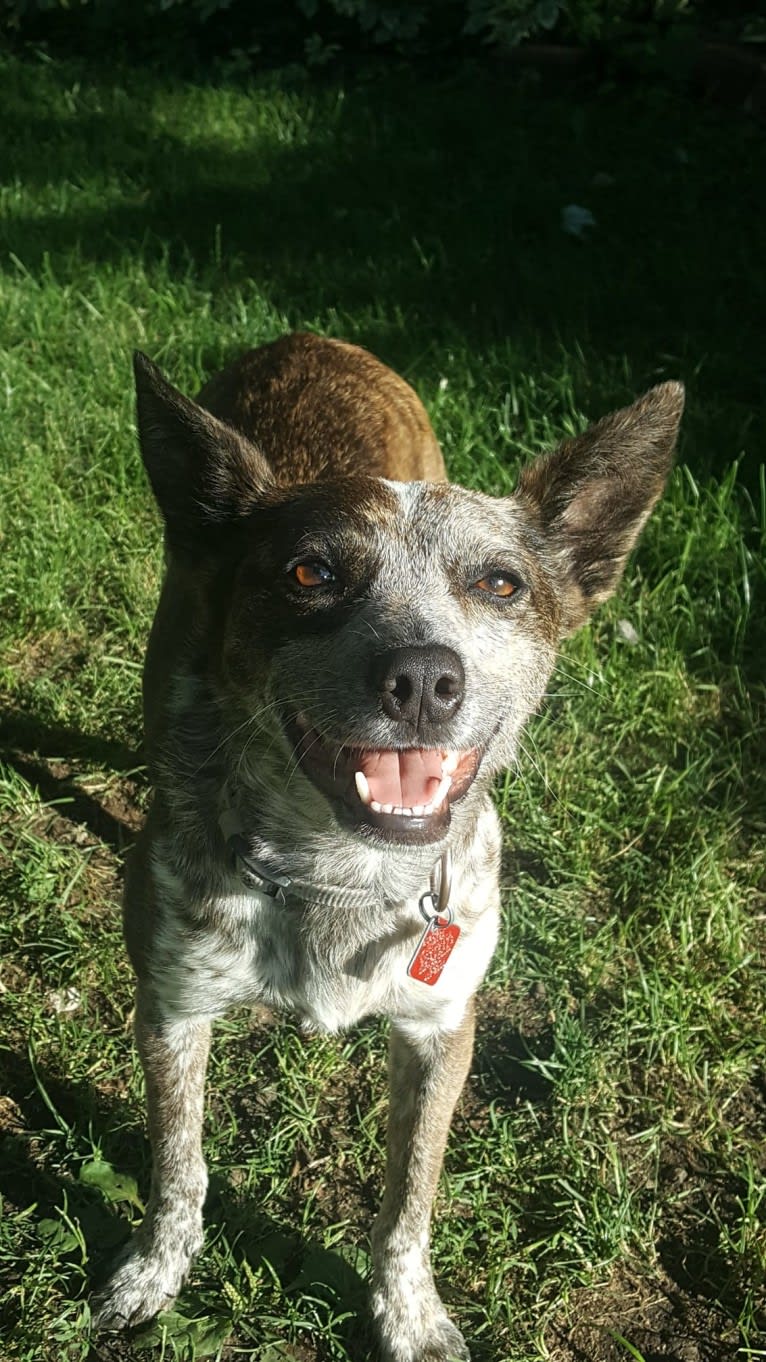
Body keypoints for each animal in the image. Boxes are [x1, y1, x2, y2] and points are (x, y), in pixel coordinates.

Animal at [92, 332, 681, 1362]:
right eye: (310, 574)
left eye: (500, 582)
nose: (422, 679)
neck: (342, 874)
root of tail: (309, 340)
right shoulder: (170, 1009)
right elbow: (179, 1164)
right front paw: (154, 1272)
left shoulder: (442, 1030)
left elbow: (410, 1200)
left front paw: (408, 1317)